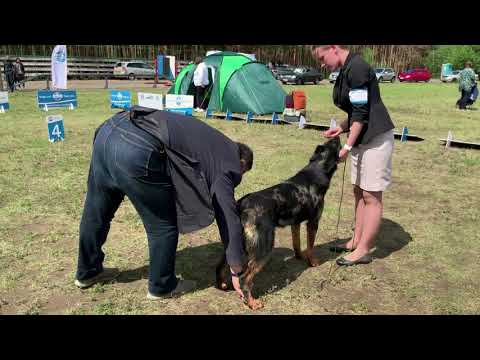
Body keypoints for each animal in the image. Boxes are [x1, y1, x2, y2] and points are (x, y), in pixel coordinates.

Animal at [216, 136, 344, 308]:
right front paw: (313, 262)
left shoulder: (295, 223)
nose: (337, 135)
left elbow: (297, 243)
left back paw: (222, 285)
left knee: (221, 265)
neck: (316, 169)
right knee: (245, 278)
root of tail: (243, 204)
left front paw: (299, 256)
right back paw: (253, 303)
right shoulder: (313, 222)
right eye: (334, 144)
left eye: (330, 141)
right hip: (264, 247)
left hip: (234, 244)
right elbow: (311, 246)